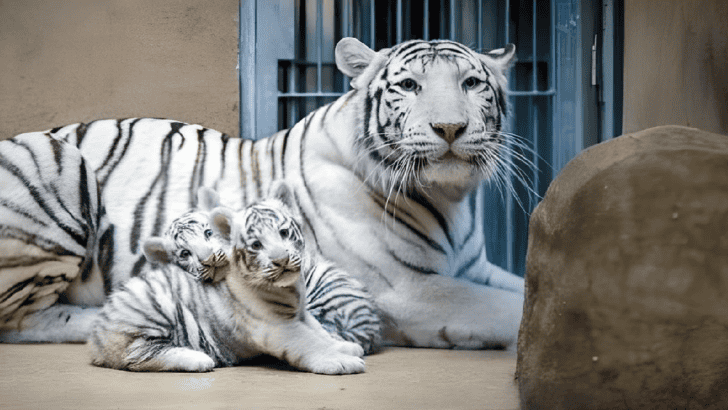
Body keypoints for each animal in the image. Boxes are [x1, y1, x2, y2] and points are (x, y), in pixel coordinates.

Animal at [0, 37, 525, 349]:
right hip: (58, 162)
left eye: (471, 83)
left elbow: (525, 287)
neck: (449, 197)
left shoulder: (473, 269)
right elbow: (508, 311)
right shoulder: (407, 291)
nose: (450, 128)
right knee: (17, 321)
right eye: (410, 86)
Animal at [89, 181, 365, 374]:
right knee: (135, 357)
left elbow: (319, 332)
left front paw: (342, 345)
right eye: (256, 245)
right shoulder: (277, 326)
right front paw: (339, 359)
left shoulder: (301, 314)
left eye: (284, 233)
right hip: (152, 312)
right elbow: (309, 342)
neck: (289, 289)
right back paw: (198, 359)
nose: (281, 260)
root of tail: (96, 338)